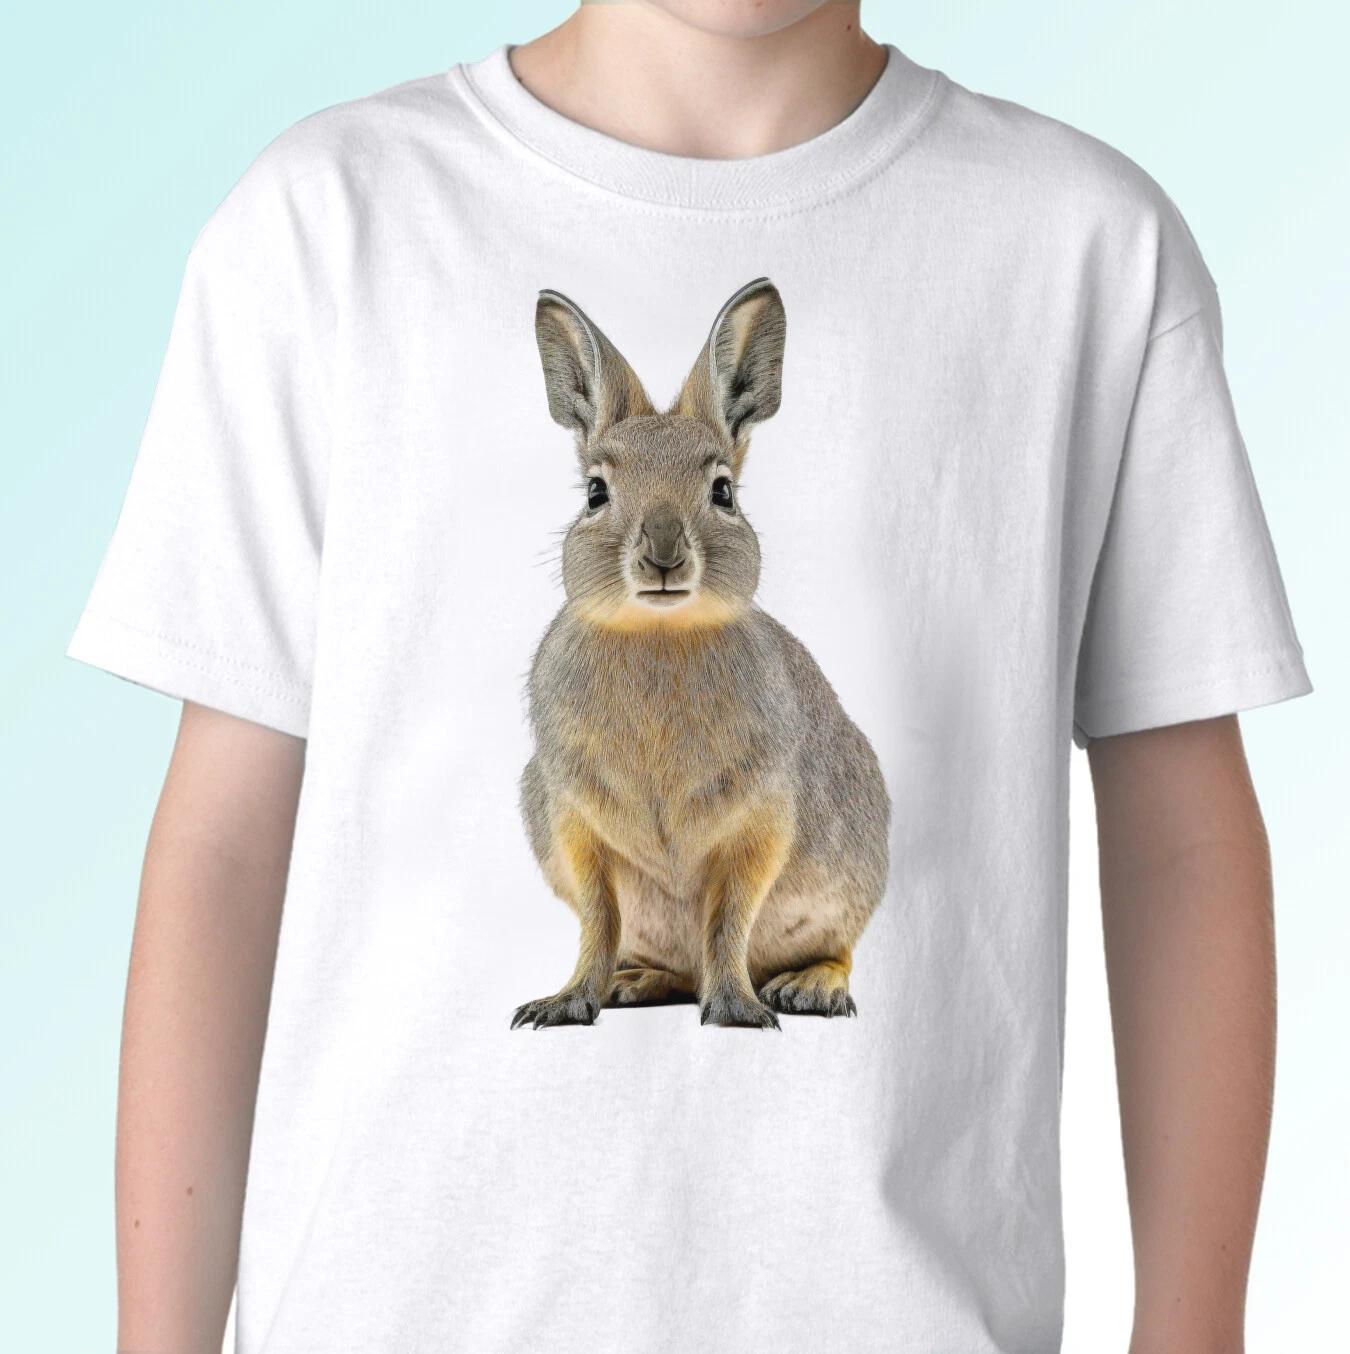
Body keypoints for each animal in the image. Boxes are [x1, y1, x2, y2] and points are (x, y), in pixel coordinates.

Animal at [512, 278, 890, 1031]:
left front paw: (739, 1010)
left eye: (723, 491)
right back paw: (635, 981)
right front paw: (567, 1001)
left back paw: (811, 987)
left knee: (837, 946)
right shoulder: (575, 824)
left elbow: (729, 917)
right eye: (596, 492)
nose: (663, 554)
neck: (658, 634)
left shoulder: (761, 818)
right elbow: (597, 918)